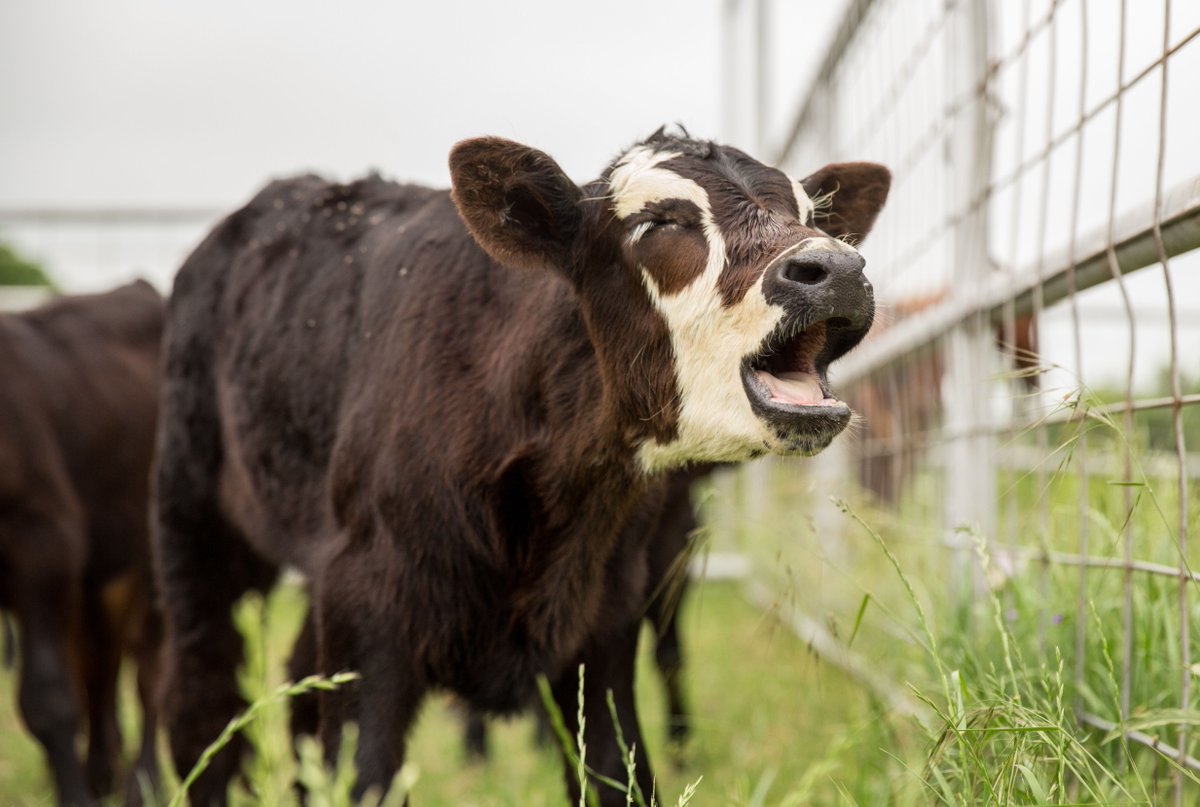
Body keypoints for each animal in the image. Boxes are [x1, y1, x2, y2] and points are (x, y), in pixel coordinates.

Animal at [0, 280, 165, 807]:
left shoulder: (44, 541)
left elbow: (48, 699)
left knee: (149, 668)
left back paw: (144, 782)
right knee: (99, 662)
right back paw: (102, 771)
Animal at [153, 128, 889, 805]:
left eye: (813, 216)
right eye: (657, 222)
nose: (836, 267)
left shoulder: (606, 626)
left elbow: (617, 772)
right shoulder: (368, 614)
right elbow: (361, 777)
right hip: (193, 521)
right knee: (200, 694)